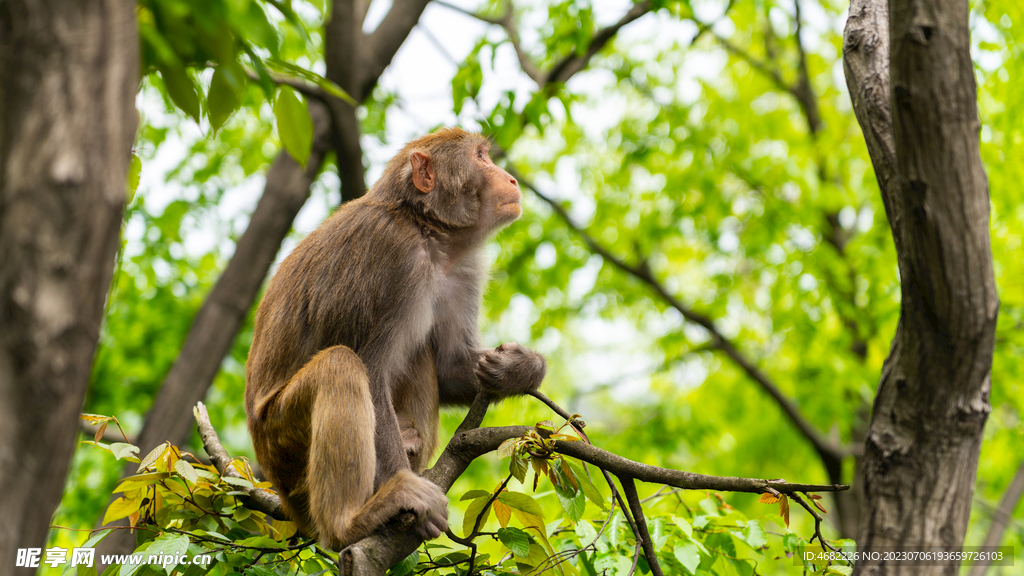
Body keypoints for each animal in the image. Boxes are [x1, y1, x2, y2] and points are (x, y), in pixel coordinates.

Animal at [243, 127, 548, 549]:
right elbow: (371, 369)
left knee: (419, 350)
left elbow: (451, 368)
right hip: (283, 444)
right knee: (341, 365)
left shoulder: (463, 270)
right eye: (480, 158)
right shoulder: (390, 256)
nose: (512, 179)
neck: (427, 233)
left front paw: (516, 368)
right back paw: (351, 520)